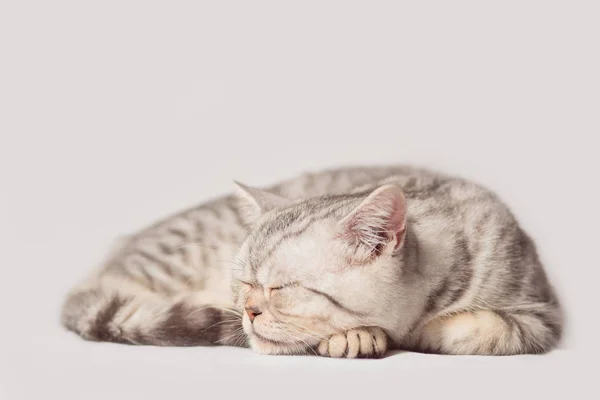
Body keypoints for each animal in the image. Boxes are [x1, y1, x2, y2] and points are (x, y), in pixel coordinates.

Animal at [61, 164, 564, 358]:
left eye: (279, 289)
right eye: (243, 284)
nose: (247, 311)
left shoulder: (538, 315)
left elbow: (480, 328)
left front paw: (414, 332)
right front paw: (358, 336)